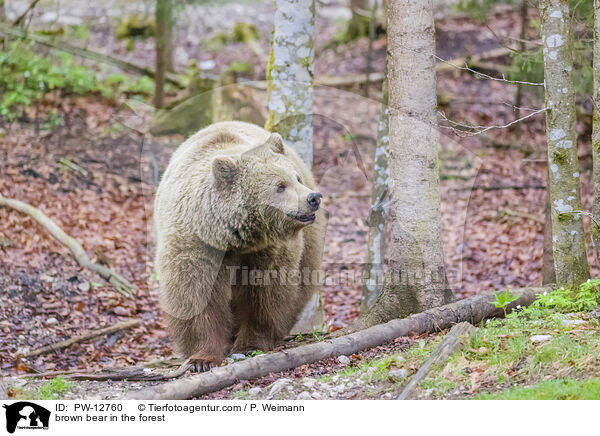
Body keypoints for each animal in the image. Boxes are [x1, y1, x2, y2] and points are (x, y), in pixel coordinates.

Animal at [152, 120, 326, 372]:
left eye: (297, 178)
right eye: (280, 186)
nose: (313, 198)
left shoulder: (268, 249)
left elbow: (265, 293)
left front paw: (250, 343)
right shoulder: (197, 243)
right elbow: (196, 295)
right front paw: (201, 358)